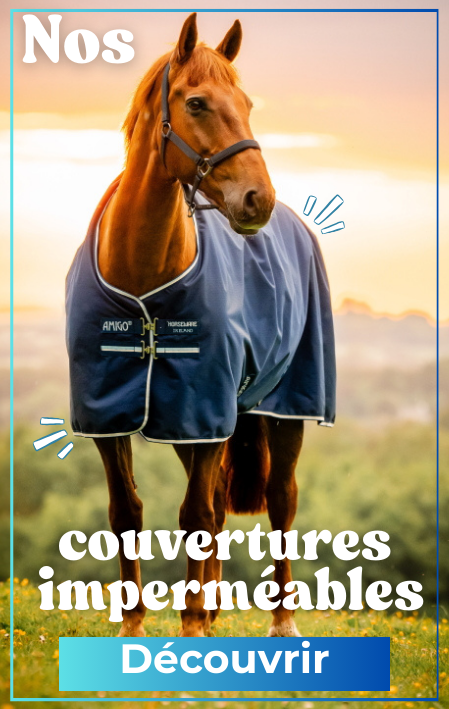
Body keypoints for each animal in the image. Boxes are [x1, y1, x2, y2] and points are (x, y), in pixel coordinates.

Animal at [66, 13, 336, 638]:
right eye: (196, 102)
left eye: (248, 103)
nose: (257, 199)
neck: (143, 278)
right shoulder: (117, 416)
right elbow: (128, 512)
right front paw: (134, 625)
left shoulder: (204, 407)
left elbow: (194, 515)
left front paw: (188, 628)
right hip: (197, 427)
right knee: (215, 505)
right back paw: (211, 610)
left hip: (283, 410)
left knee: (279, 501)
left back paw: (279, 622)